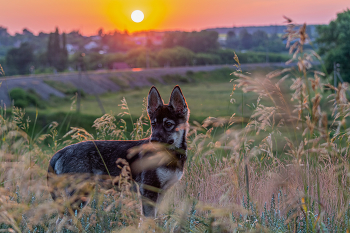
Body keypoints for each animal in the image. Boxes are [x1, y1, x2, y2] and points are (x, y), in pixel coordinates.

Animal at [47, 85, 190, 217]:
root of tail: (61, 152)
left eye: (168, 124)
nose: (153, 140)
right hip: (78, 197)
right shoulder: (148, 191)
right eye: (153, 124)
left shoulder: (160, 193)